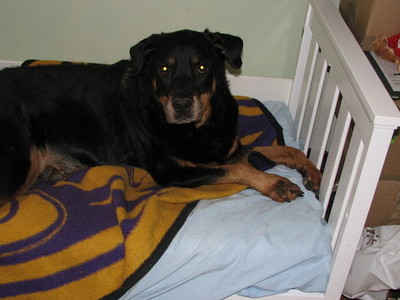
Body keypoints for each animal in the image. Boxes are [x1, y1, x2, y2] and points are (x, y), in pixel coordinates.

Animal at [0, 29, 320, 206]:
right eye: (164, 69)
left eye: (202, 67)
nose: (182, 104)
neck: (199, 127)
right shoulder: (173, 172)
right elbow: (238, 170)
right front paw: (277, 184)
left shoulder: (227, 151)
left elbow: (280, 150)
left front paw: (312, 172)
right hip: (16, 165)